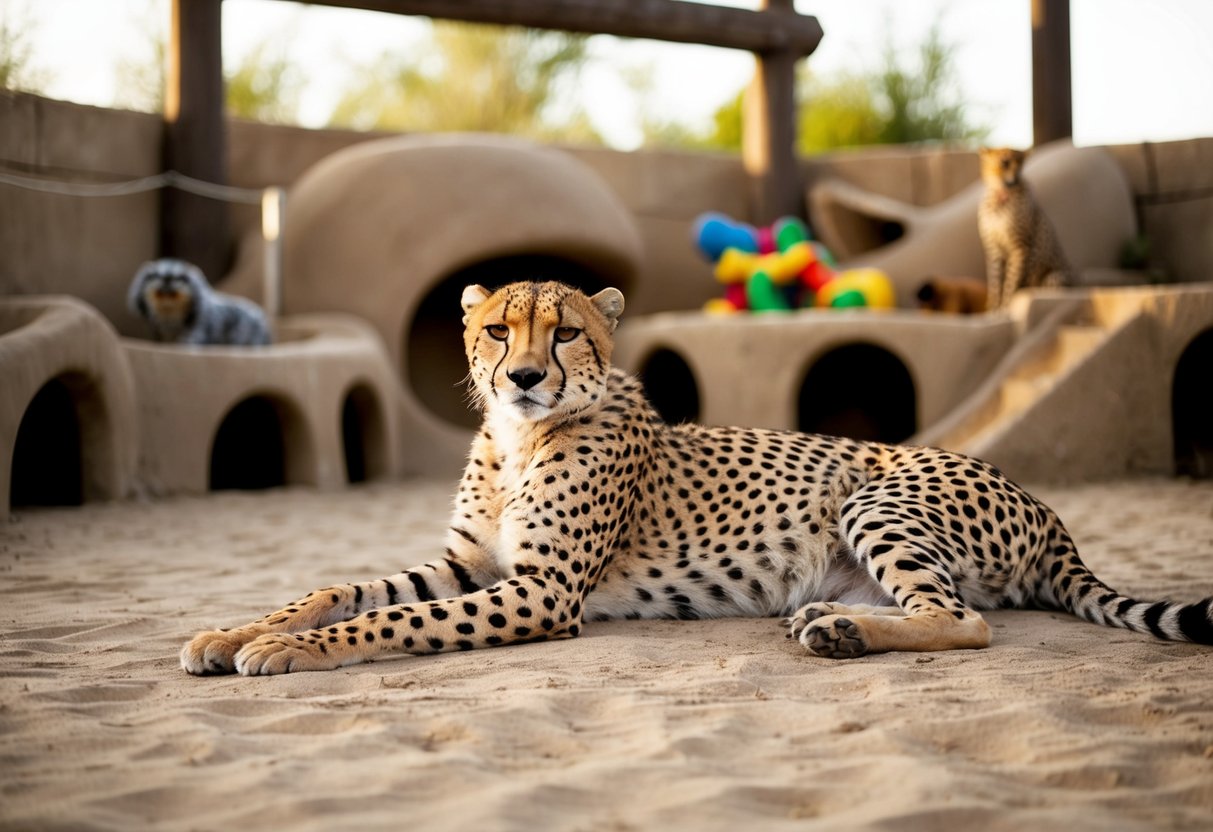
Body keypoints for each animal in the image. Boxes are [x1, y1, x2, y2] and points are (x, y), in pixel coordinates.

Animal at [181, 280, 1213, 676]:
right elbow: (336, 589)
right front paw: (232, 633)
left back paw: (837, 631)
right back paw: (831, 619)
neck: (517, 442)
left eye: (564, 332)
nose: (523, 378)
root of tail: (1048, 511)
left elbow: (385, 621)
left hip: (874, 494)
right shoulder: (470, 567)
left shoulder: (541, 590)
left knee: (964, 619)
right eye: (496, 330)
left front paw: (285, 653)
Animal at [977, 147, 1074, 310]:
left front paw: (1005, 306)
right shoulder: (994, 249)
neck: (1000, 196)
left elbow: (1011, 281)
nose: (1015, 178)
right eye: (1005, 162)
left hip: (1054, 276)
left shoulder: (1020, 247)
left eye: (1021, 164)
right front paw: (992, 308)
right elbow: (995, 282)